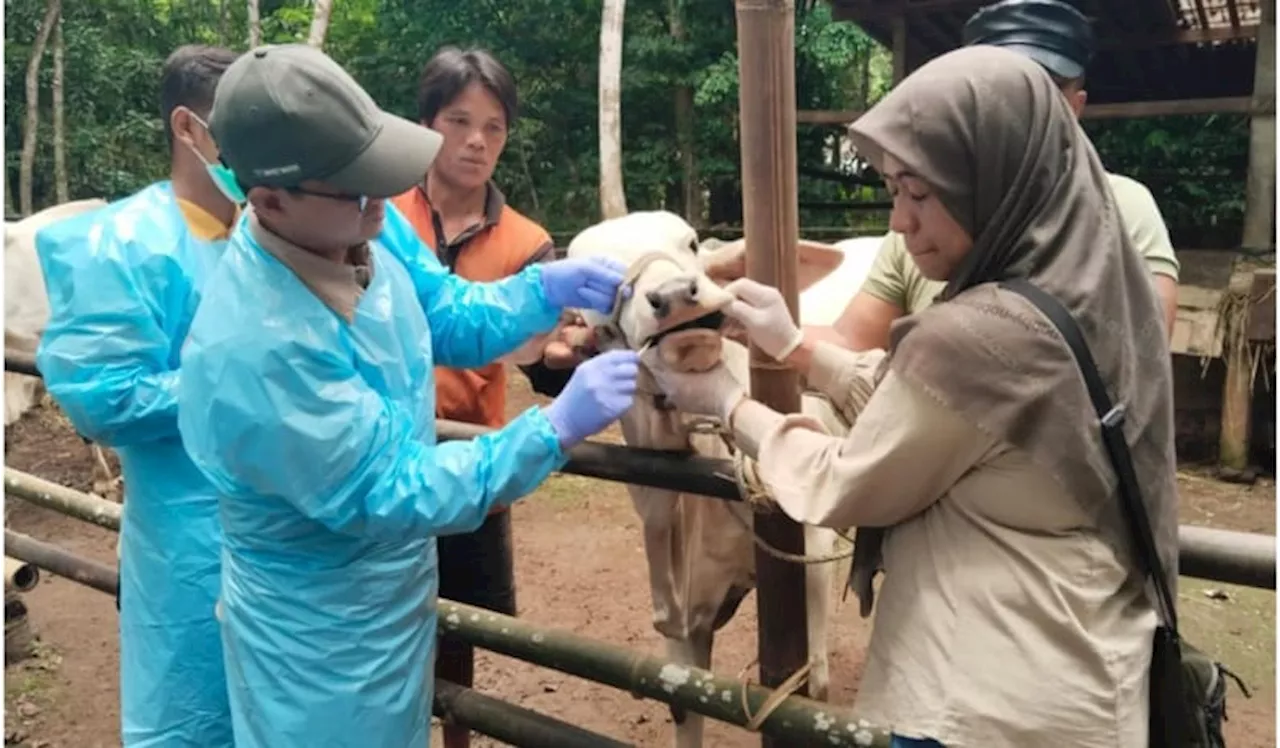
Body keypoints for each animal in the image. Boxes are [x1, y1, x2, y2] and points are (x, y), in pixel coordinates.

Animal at [565, 213, 885, 742]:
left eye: (692, 244)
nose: (674, 295)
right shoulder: (684, 624)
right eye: (593, 279)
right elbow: (684, 703)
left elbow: (810, 693)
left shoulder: (810, 569)